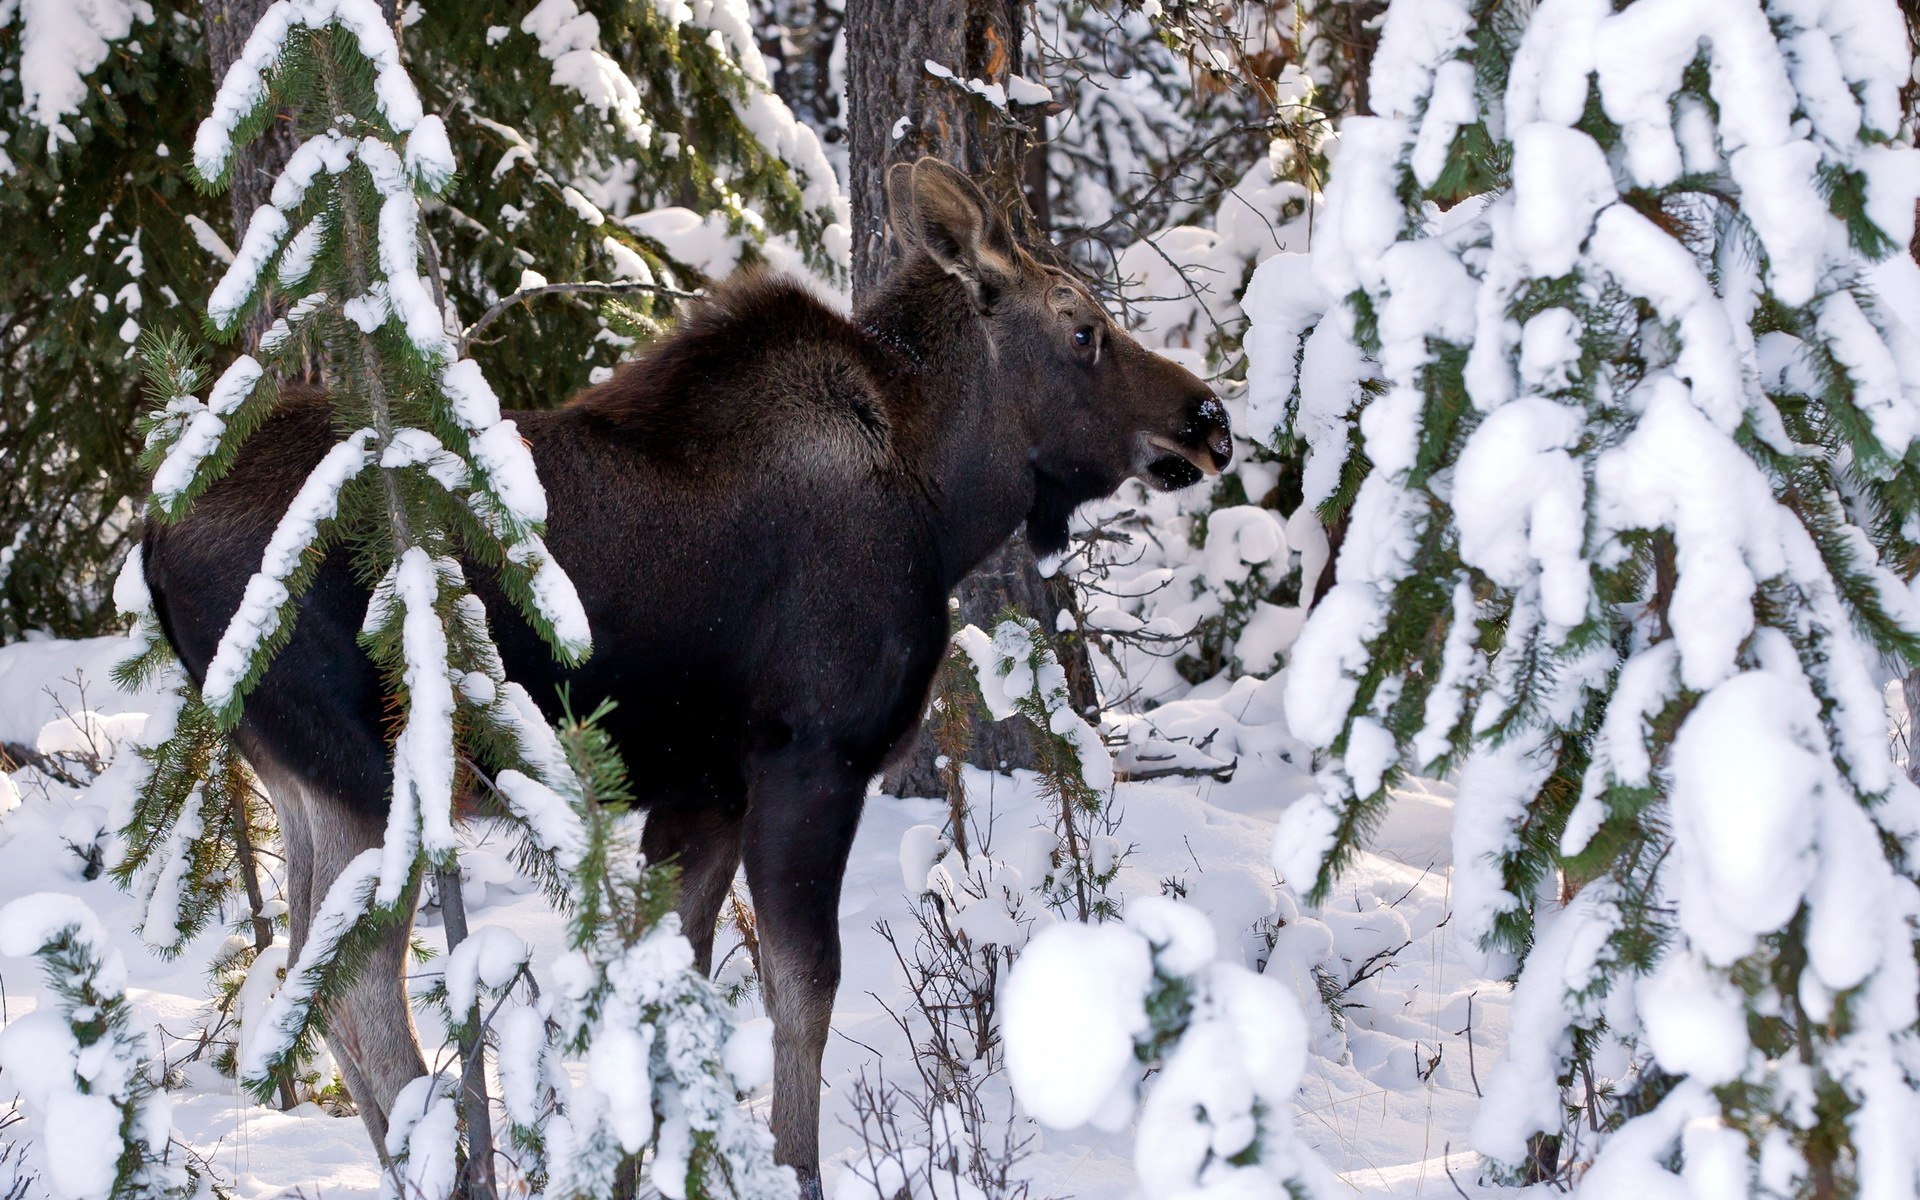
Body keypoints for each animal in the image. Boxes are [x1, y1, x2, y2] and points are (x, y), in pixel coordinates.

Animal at [145, 156, 1228, 1190]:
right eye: (1083, 328)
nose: (1209, 418)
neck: (944, 505)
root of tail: (150, 542)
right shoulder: (811, 759)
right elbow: (802, 991)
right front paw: (794, 1168)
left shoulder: (703, 795)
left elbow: (672, 988)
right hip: (372, 767)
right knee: (358, 992)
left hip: (299, 776)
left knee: (302, 981)